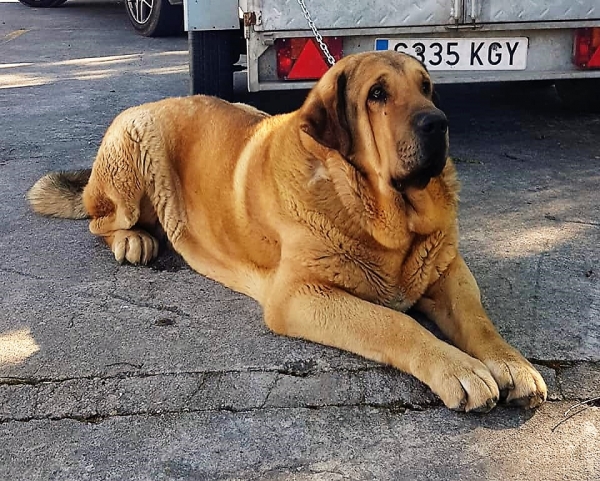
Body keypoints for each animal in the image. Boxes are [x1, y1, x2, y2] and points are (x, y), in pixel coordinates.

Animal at [29, 52, 548, 412]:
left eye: (426, 88)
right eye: (377, 95)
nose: (437, 123)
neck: (371, 210)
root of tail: (150, 104)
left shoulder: (447, 271)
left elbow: (478, 320)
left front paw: (511, 363)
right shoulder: (300, 295)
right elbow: (395, 323)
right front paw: (458, 368)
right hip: (133, 150)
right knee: (102, 219)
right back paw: (133, 238)